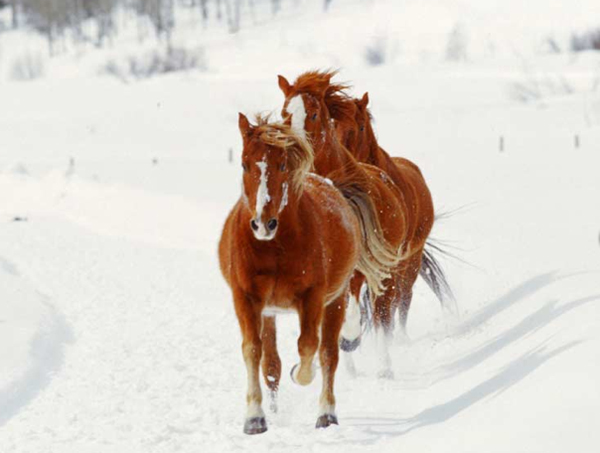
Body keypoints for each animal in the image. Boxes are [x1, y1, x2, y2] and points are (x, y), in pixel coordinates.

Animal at [218, 115, 396, 432]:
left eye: (282, 165)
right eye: (244, 164)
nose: (263, 224)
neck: (273, 248)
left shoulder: (313, 298)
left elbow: (309, 347)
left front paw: (301, 374)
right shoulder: (246, 299)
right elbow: (253, 351)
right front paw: (254, 418)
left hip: (334, 301)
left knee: (329, 353)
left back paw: (327, 413)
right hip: (270, 311)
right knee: (271, 362)